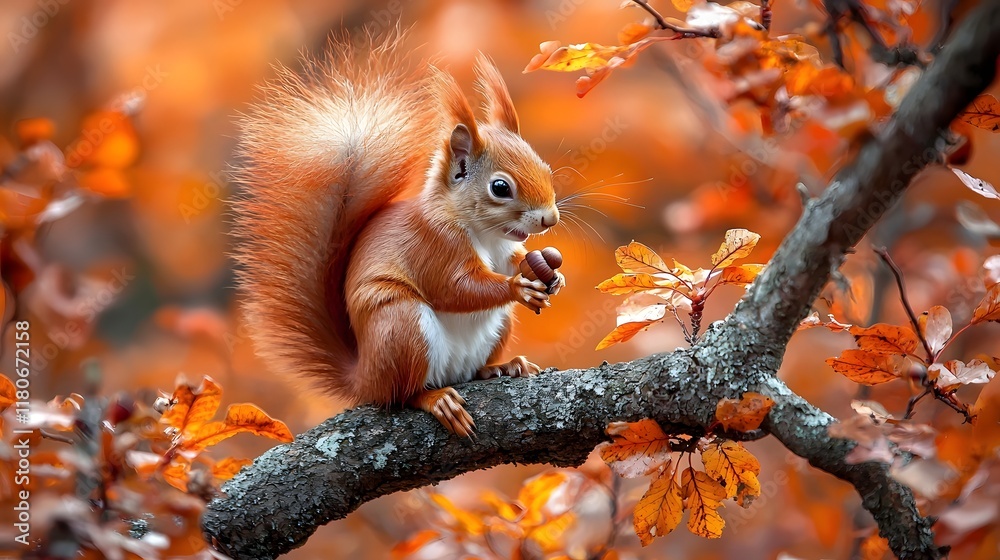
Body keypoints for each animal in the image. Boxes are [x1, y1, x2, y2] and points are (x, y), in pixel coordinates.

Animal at [231, 33, 564, 437]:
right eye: (500, 187)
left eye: (545, 167)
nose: (549, 218)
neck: (484, 233)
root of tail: (364, 378)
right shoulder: (434, 244)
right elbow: (455, 288)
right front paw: (518, 287)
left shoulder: (505, 248)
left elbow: (514, 261)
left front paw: (551, 276)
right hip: (400, 326)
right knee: (402, 394)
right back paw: (436, 399)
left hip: (492, 329)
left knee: (470, 371)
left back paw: (500, 367)